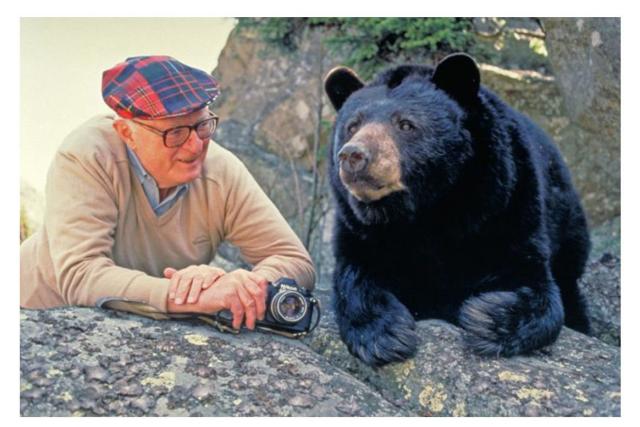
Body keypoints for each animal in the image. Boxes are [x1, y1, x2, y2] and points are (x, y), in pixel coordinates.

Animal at [324, 53, 592, 368]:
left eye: (406, 124)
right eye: (352, 126)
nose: (353, 155)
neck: (425, 211)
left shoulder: (506, 208)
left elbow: (536, 284)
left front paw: (486, 317)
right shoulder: (359, 230)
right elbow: (355, 275)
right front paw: (385, 334)